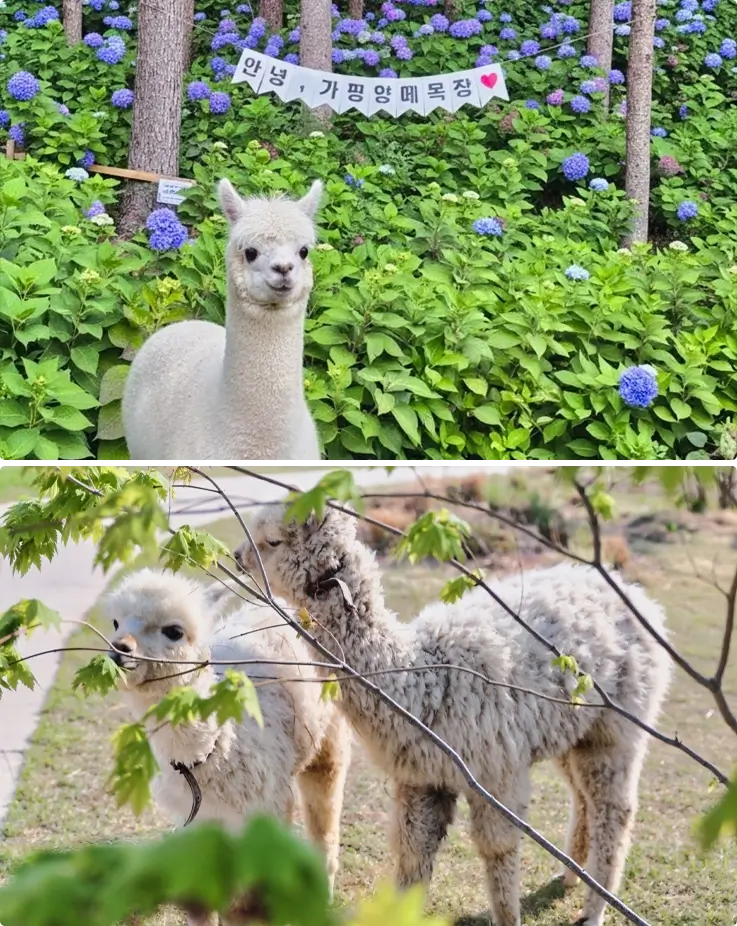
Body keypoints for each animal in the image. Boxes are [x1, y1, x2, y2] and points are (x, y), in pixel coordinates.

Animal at [104, 568, 351, 926]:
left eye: (174, 631)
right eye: (115, 622)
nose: (119, 648)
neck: (210, 757)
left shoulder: (265, 808)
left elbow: (244, 903)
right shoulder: (199, 818)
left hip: (329, 734)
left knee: (325, 819)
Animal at [234, 507, 672, 926]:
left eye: (272, 541)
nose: (238, 557)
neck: (422, 680)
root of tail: (639, 599)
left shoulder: (496, 771)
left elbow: (498, 851)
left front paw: (508, 918)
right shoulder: (422, 777)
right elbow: (412, 856)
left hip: (618, 726)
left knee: (614, 811)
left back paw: (594, 910)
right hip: (573, 729)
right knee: (583, 798)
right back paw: (568, 877)